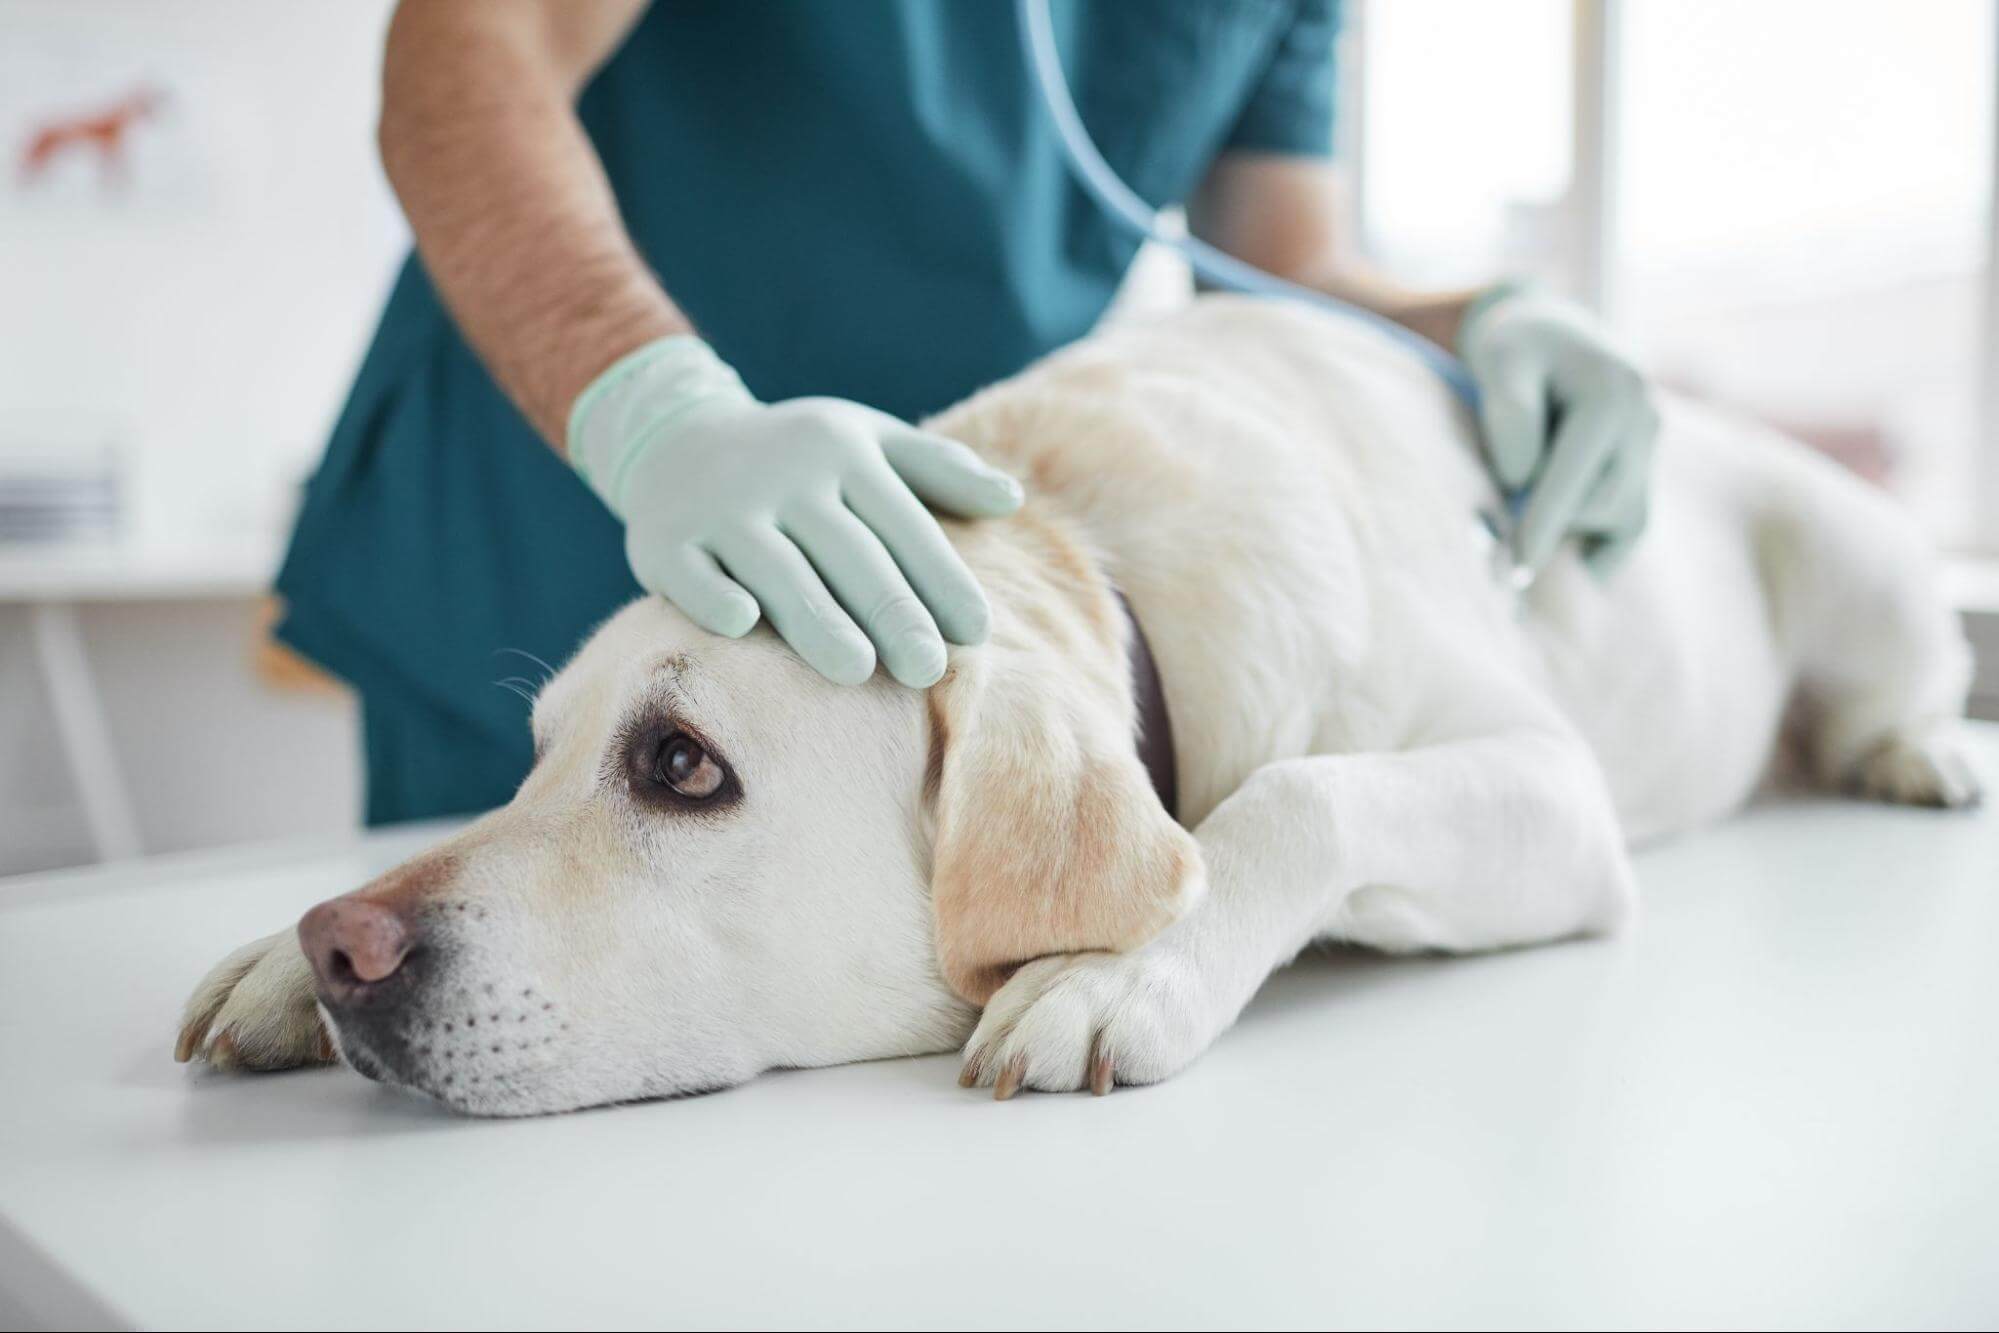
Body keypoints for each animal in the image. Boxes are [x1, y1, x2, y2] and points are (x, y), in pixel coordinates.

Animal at [175, 299, 1983, 1119]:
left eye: (679, 764)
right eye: (534, 753)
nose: (342, 946)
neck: (1086, 557)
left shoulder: (1548, 789)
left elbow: (1296, 794)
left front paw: (1116, 968)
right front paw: (269, 958)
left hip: (1855, 556)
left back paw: (1914, 750)